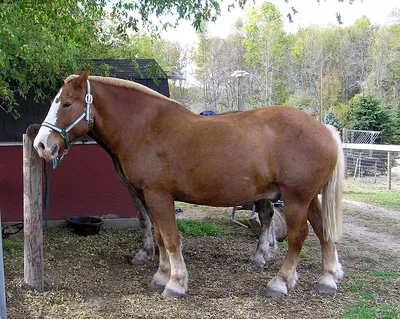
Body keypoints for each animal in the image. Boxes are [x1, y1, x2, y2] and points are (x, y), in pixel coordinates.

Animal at [34, 70, 346, 300]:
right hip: (309, 198)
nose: (41, 145)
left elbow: (171, 238)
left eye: (66, 103)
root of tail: (325, 129)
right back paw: (327, 278)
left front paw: (175, 283)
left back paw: (280, 282)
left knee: (298, 236)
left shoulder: (159, 195)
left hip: (296, 198)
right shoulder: (148, 197)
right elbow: (159, 237)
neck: (145, 127)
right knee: (322, 230)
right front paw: (160, 276)